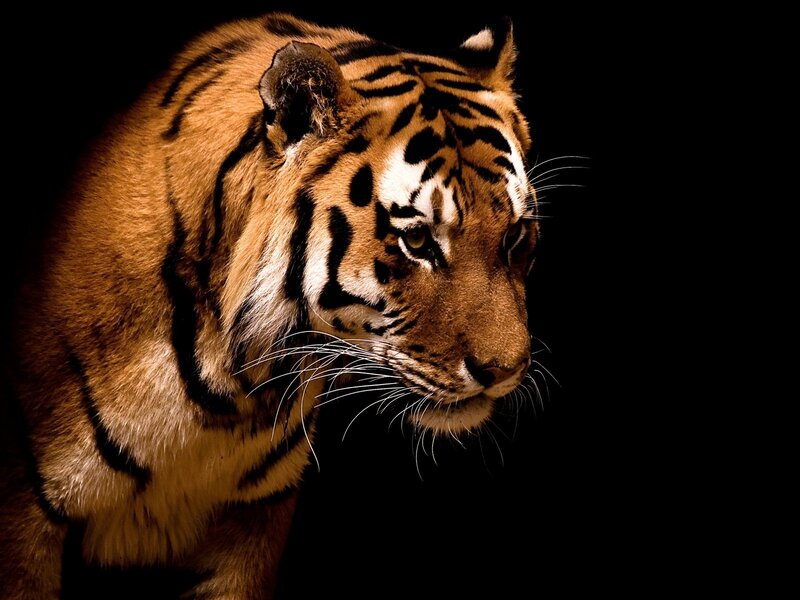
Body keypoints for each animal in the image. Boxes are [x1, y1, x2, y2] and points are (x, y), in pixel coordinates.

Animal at [0, 12, 538, 599]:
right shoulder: (25, 514)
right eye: (417, 241)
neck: (230, 389)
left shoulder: (253, 517)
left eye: (516, 235)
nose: (505, 371)